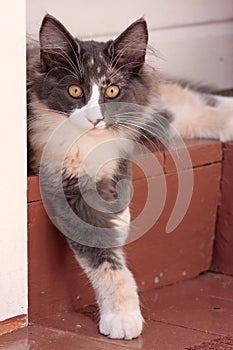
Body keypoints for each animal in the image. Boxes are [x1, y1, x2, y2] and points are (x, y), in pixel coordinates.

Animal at [27, 14, 233, 340]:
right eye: (75, 91)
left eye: (112, 91)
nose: (95, 119)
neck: (91, 141)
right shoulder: (63, 183)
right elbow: (108, 263)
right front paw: (122, 316)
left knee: (187, 102)